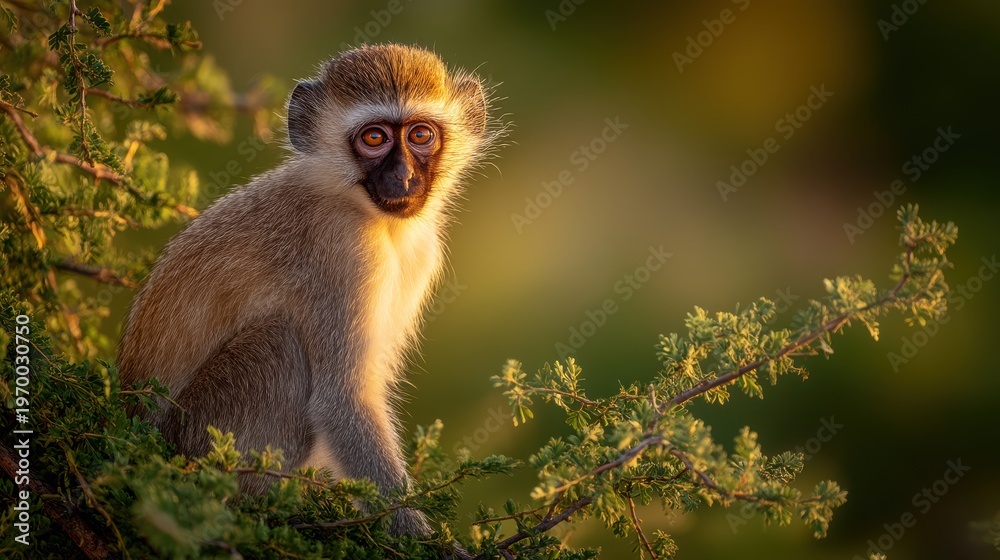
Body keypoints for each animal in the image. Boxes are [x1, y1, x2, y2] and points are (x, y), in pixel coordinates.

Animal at [117, 43, 501, 540]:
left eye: (420, 135)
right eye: (374, 138)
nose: (403, 179)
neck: (355, 204)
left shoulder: (421, 253)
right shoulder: (341, 251)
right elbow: (343, 400)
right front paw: (421, 536)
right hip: (198, 434)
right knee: (281, 341)